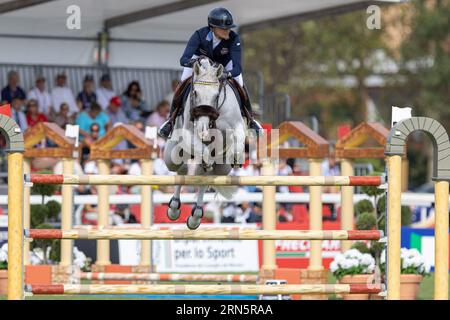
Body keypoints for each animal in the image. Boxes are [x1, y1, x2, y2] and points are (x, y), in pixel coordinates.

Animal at [163, 57, 246, 228]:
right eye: (195, 92)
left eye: (216, 95)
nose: (203, 128)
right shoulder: (188, 133)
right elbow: (202, 149)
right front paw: (206, 157)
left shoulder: (237, 125)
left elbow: (237, 138)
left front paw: (236, 156)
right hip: (171, 157)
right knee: (181, 169)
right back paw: (174, 208)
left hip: (222, 169)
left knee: (204, 178)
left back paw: (196, 215)